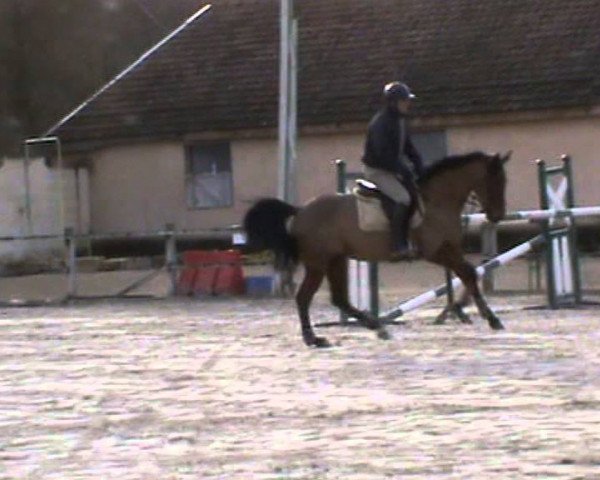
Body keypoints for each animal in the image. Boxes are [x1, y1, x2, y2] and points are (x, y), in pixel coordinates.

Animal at [244, 152, 510, 346]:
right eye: (495, 181)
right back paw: (314, 338)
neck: (437, 201)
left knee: (339, 298)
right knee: (304, 297)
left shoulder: (450, 249)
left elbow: (470, 273)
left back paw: (377, 327)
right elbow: (467, 272)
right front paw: (488, 317)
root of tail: (299, 211)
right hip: (318, 263)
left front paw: (468, 309)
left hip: (336, 260)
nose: (498, 216)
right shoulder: (436, 252)